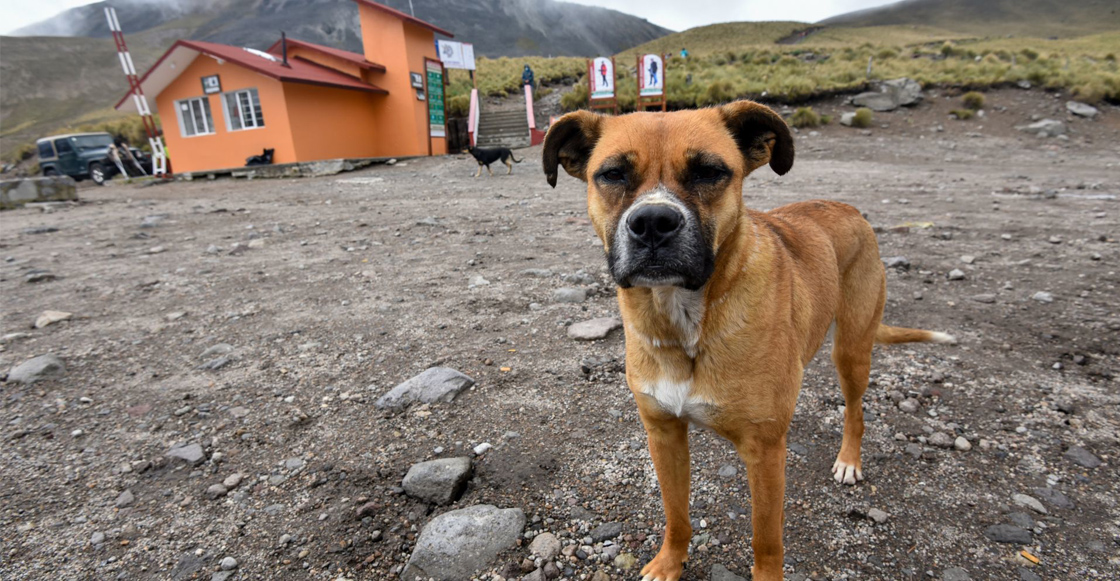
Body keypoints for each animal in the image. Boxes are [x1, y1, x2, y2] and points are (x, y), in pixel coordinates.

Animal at [542, 102, 954, 577]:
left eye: (709, 171)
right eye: (612, 174)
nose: (652, 222)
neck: (684, 320)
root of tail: (850, 209)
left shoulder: (764, 454)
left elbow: (766, 539)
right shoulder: (663, 434)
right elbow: (676, 513)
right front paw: (669, 563)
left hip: (851, 349)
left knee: (855, 410)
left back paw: (850, 460)